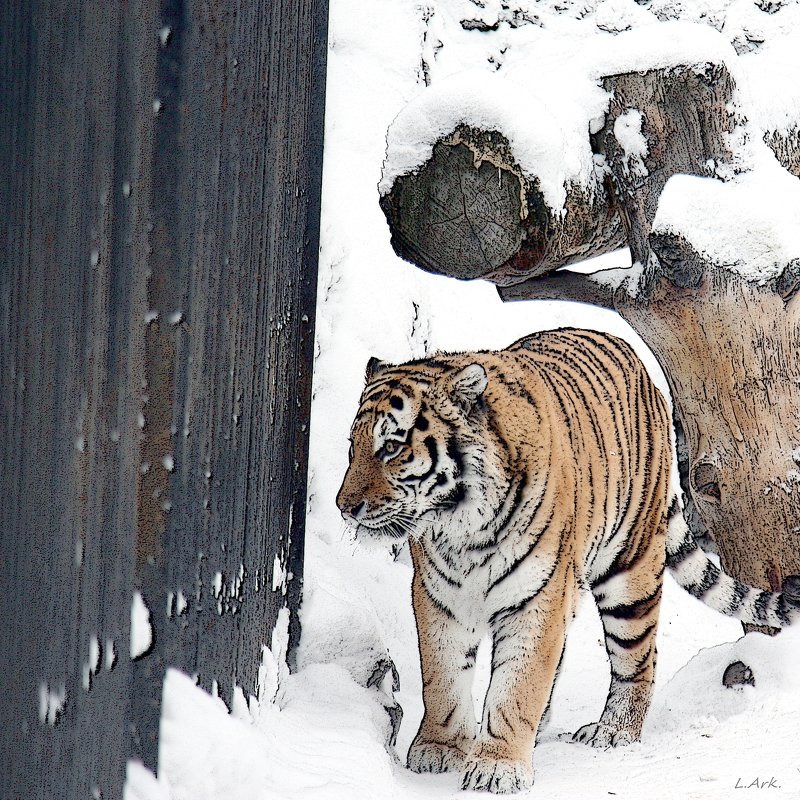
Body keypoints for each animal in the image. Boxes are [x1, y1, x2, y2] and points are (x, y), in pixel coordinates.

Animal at [334, 326, 800, 792]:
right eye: (353, 447)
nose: (345, 507)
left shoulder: (537, 598)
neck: (462, 526)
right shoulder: (440, 598)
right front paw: (439, 750)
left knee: (638, 658)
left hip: (629, 573)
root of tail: (637, 361)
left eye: (391, 448)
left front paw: (497, 766)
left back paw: (614, 732)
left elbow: (518, 684)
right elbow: (443, 678)